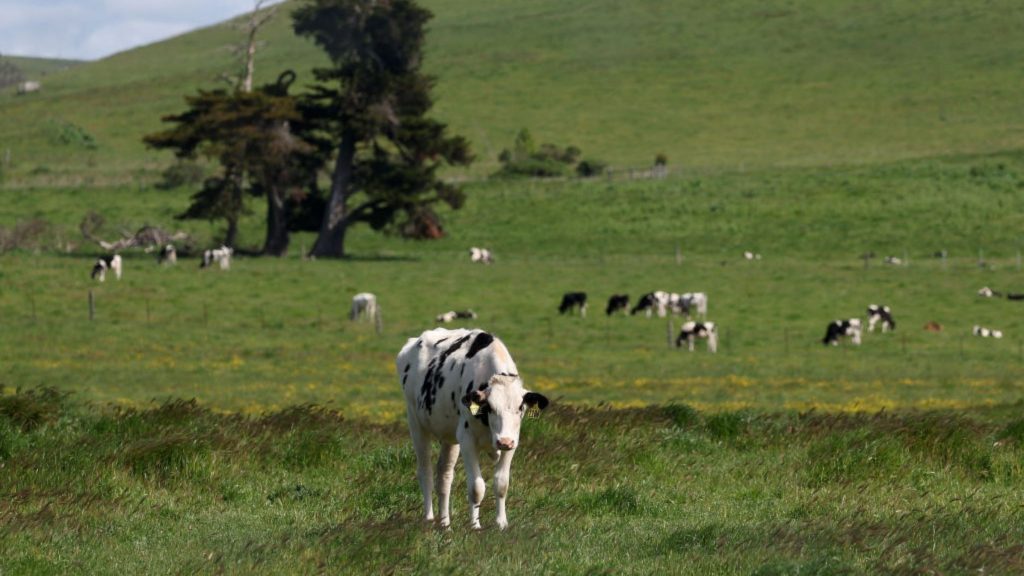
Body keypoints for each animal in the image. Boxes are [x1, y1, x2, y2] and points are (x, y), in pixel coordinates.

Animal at [395, 327, 548, 528]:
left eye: (520, 408)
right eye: (490, 407)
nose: (504, 441)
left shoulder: (513, 441)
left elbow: (501, 484)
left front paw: (501, 524)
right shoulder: (467, 440)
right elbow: (476, 487)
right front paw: (475, 526)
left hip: (450, 437)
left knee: (444, 476)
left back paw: (445, 524)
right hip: (416, 423)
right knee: (425, 472)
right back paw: (429, 518)